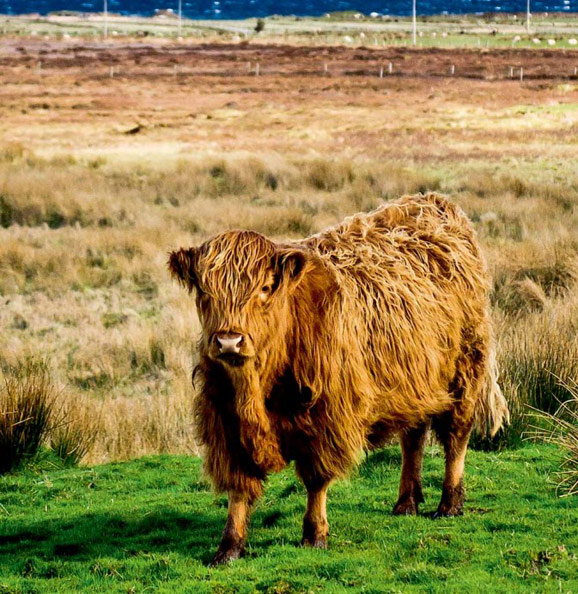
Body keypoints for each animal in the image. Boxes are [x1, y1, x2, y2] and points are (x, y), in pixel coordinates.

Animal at [166, 193, 504, 564]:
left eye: (266, 288)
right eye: (203, 291)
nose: (229, 341)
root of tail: (434, 202)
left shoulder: (326, 419)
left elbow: (316, 479)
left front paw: (314, 535)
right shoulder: (225, 423)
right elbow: (239, 487)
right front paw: (229, 547)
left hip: (465, 372)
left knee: (456, 437)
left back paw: (449, 504)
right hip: (415, 385)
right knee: (413, 439)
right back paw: (406, 503)